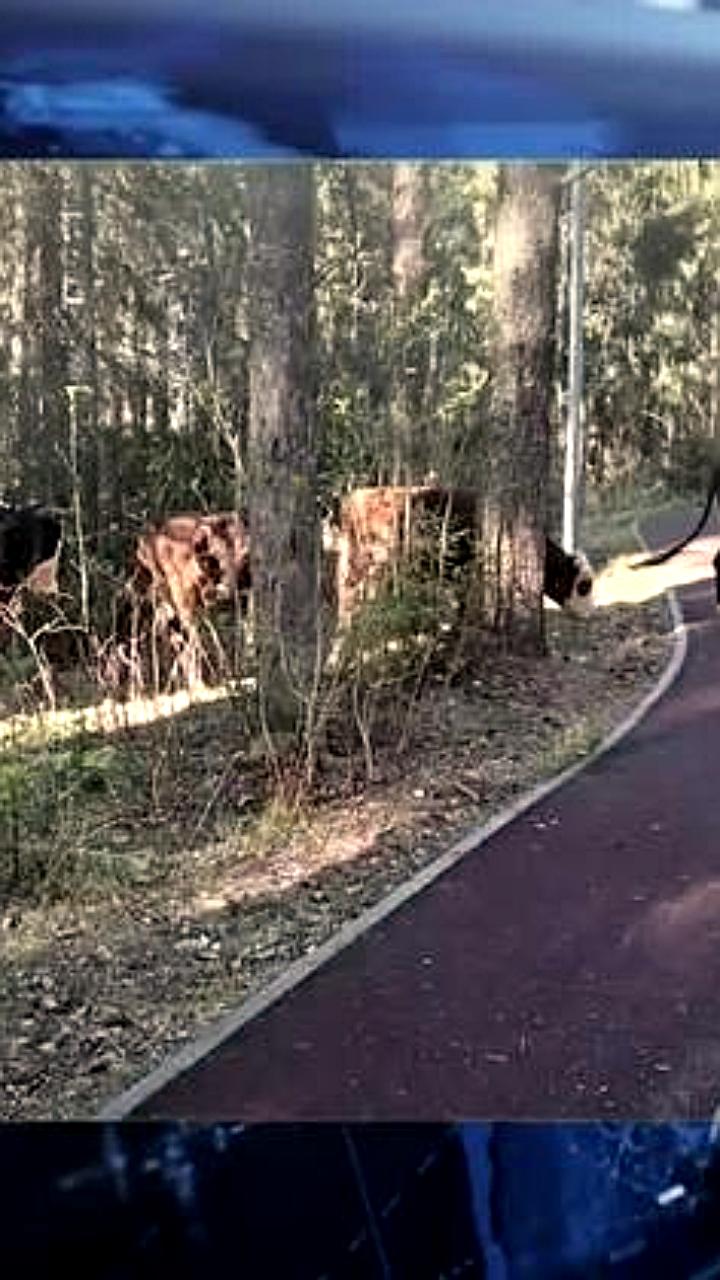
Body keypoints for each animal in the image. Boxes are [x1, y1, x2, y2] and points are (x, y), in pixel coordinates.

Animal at [322, 485, 594, 628]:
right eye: (584, 585)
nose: (589, 613)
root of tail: (352, 498)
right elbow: (462, 600)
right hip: (360, 563)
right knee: (348, 597)